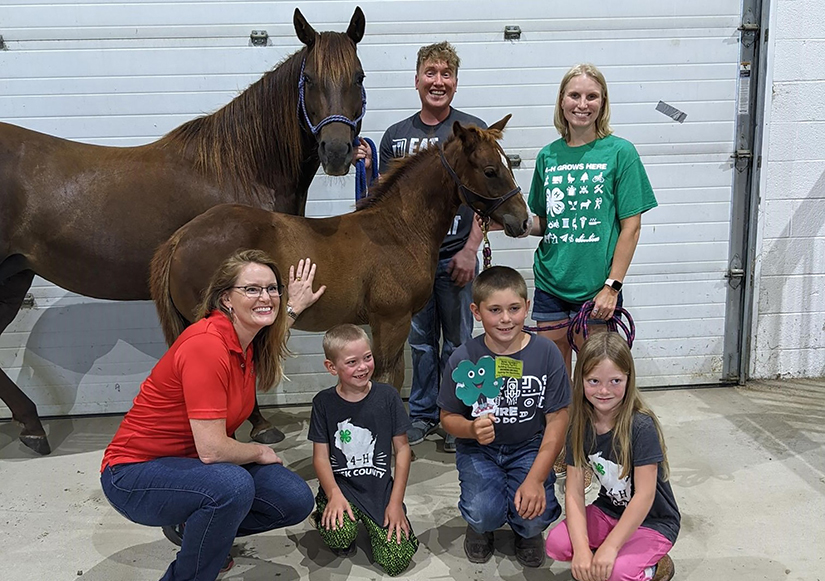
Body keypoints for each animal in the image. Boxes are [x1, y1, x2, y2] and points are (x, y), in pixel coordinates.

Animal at [0, 7, 366, 454]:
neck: (243, 168)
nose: (337, 152)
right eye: (310, 79)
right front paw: (259, 423)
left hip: (14, 276)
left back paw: (32, 426)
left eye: (359, 77)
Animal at [150, 114, 532, 394]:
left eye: (508, 164)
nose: (524, 220)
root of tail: (181, 238)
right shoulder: (391, 320)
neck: (398, 229)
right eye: (490, 170)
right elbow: (386, 379)